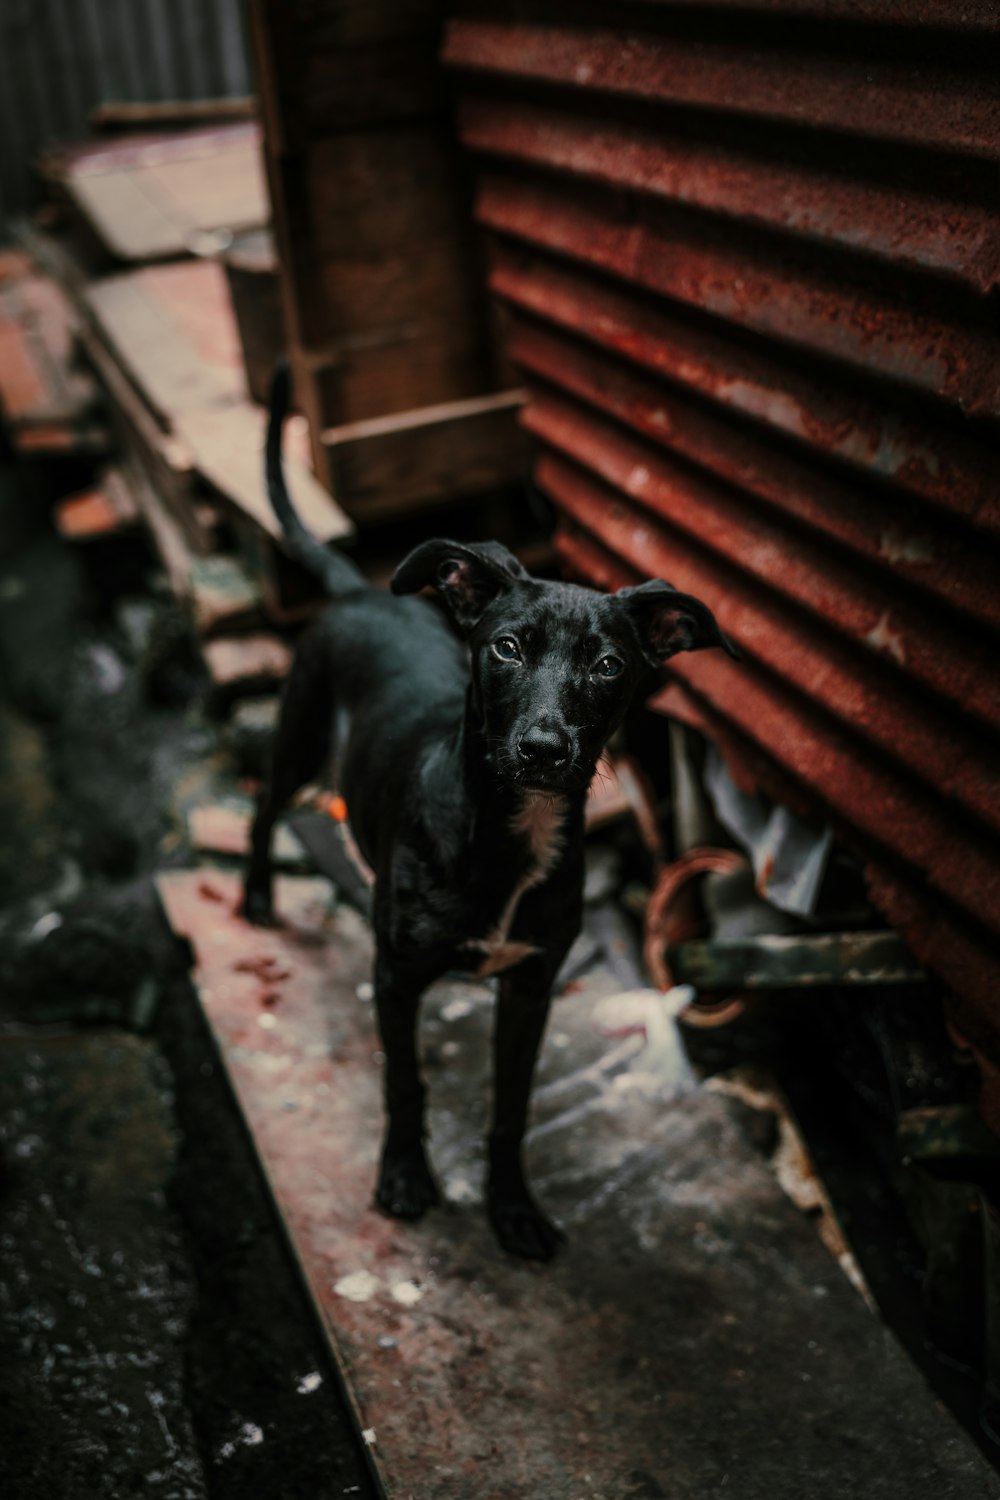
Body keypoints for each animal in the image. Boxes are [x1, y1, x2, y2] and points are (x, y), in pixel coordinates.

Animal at [245, 369, 740, 1260]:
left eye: (607, 665)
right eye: (507, 647)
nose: (544, 749)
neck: (513, 829)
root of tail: (361, 588)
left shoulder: (532, 987)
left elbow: (511, 1111)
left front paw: (512, 1207)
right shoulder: (397, 974)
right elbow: (403, 1080)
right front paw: (405, 1175)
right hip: (299, 737)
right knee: (264, 804)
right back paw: (259, 895)